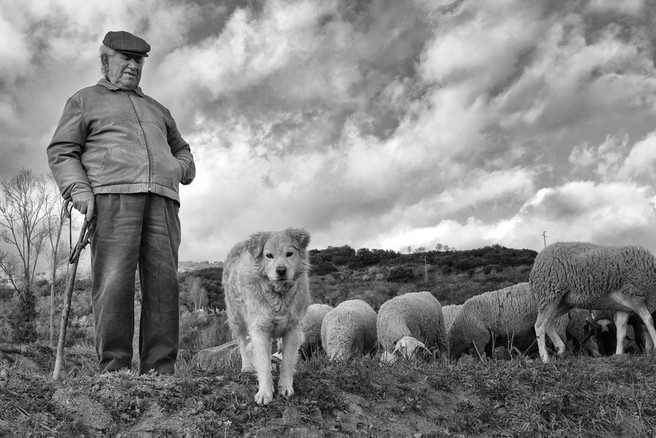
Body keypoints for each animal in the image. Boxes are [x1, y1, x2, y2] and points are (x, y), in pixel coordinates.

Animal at [223, 228, 310, 406]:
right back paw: (247, 366)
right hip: (236, 318)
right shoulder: (260, 329)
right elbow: (262, 362)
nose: (281, 270)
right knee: (242, 343)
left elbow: (287, 361)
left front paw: (285, 387)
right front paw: (265, 392)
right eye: (269, 255)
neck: (279, 295)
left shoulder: (292, 329)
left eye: (289, 253)